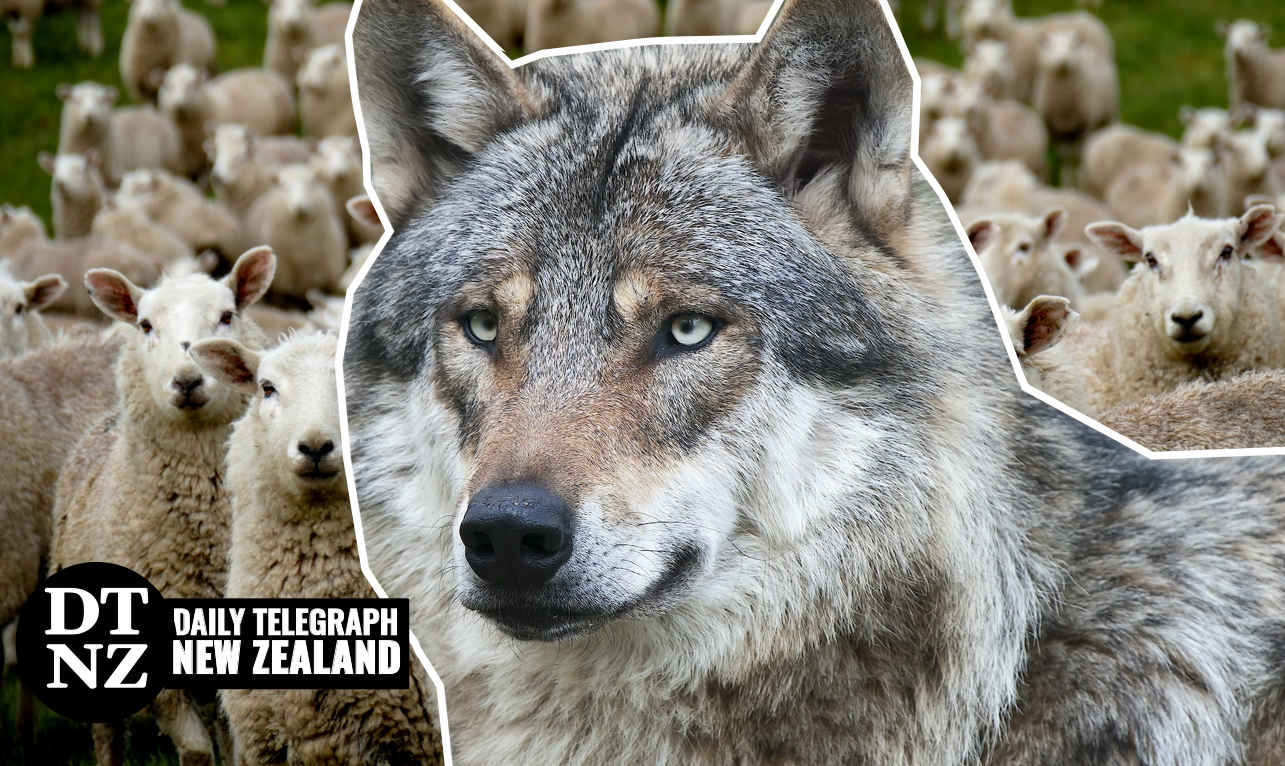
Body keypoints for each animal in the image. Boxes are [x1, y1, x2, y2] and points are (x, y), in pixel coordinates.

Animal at [49, 248, 275, 766]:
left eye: (227, 315)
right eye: (146, 325)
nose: (188, 379)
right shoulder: (162, 680)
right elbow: (195, 752)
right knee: (107, 735)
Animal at [159, 64, 297, 177]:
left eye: (192, 85)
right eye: (169, 86)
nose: (178, 105)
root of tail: (265, 71)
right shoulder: (183, 166)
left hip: (285, 128)